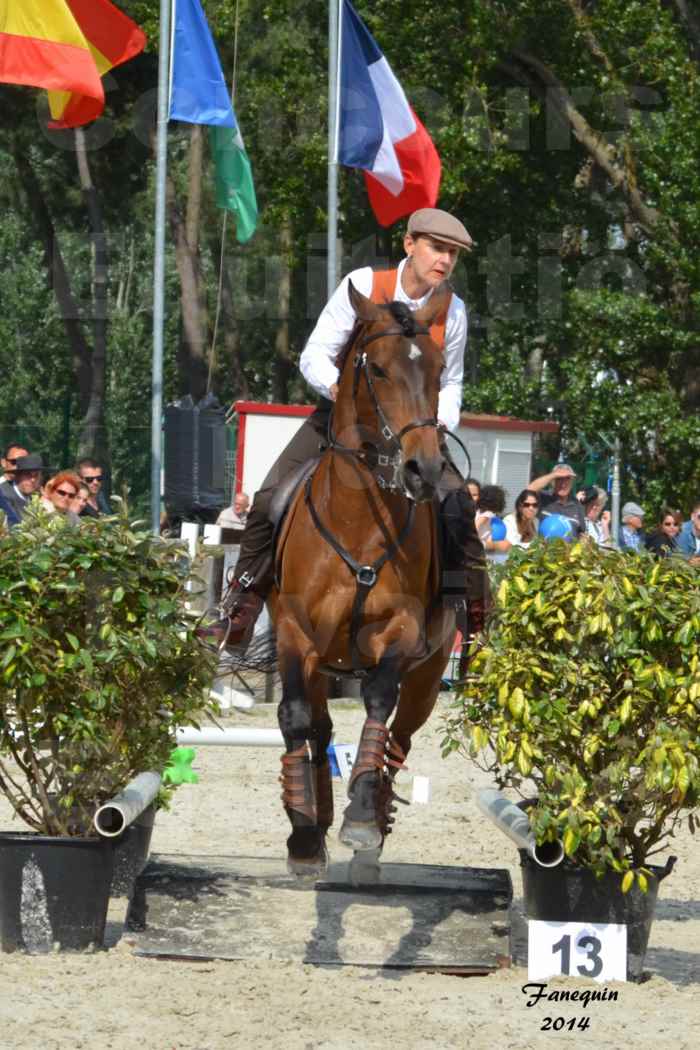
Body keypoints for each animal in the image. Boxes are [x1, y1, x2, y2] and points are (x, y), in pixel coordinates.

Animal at [270, 283, 459, 873]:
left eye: (440, 369)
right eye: (377, 369)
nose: (424, 469)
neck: (358, 522)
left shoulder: (401, 632)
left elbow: (377, 699)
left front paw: (359, 816)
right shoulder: (295, 633)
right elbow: (294, 717)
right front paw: (302, 833)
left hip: (429, 677)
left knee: (399, 738)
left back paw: (372, 816)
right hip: (320, 663)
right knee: (320, 726)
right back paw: (315, 820)